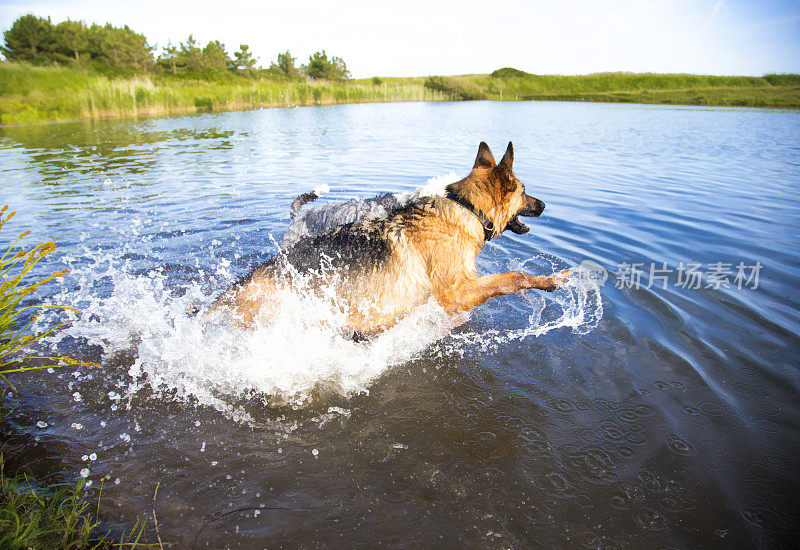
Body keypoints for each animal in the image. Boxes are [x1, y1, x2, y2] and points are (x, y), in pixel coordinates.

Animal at [214, 142, 568, 334]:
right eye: (524, 191)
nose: (544, 204)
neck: (465, 208)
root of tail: (239, 285)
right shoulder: (455, 293)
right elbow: (512, 277)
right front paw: (550, 280)